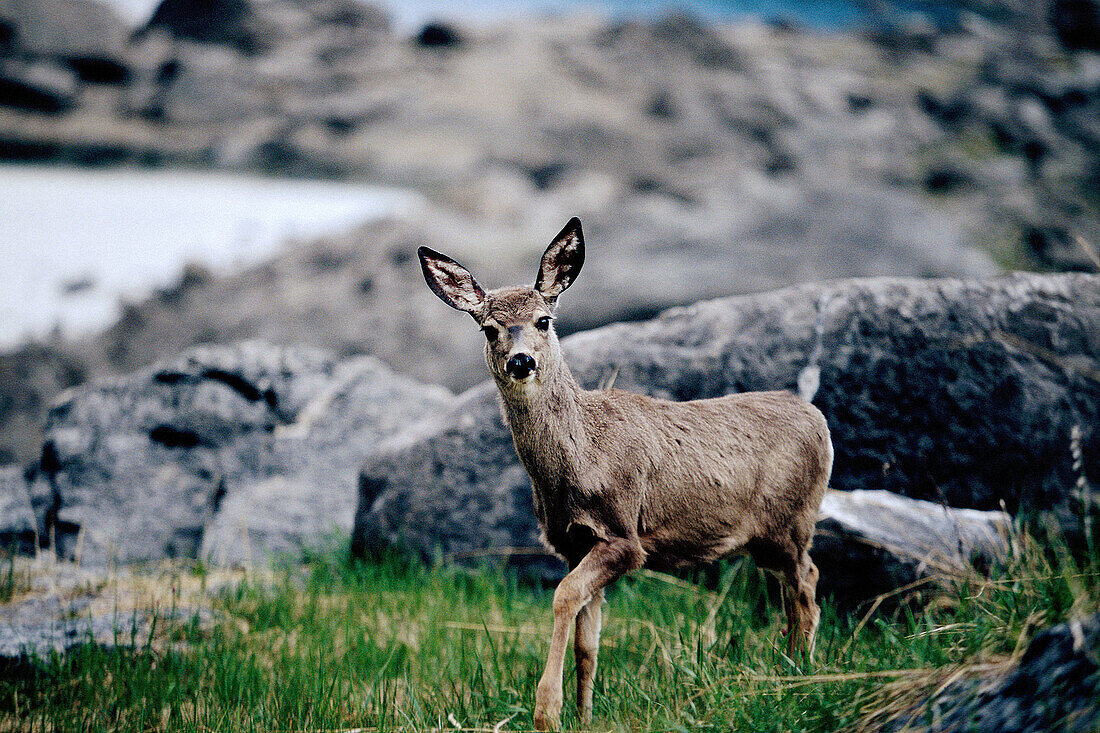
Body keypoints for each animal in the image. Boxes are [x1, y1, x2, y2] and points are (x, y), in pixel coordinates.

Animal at [420, 214, 831, 726]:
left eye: (543, 321)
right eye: (489, 330)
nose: (522, 360)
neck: (580, 456)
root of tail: (819, 420)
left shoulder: (623, 536)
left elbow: (562, 597)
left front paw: (547, 711)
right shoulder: (573, 543)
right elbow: (587, 642)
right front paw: (583, 717)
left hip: (791, 520)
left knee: (808, 583)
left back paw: (803, 673)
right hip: (769, 536)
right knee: (793, 590)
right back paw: (789, 668)